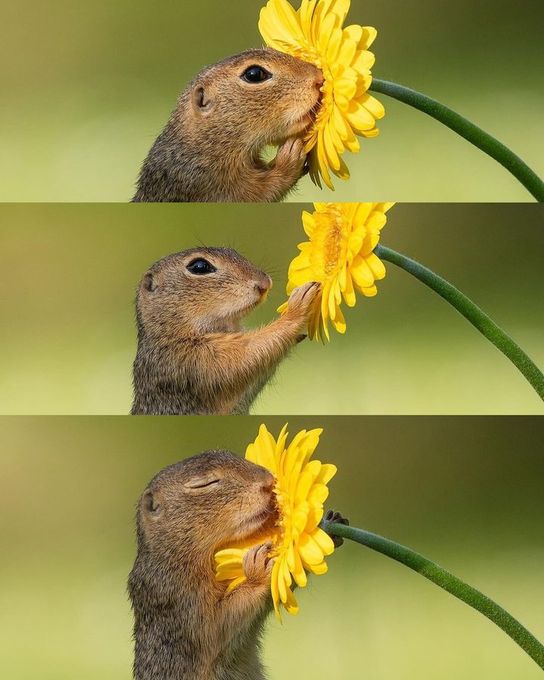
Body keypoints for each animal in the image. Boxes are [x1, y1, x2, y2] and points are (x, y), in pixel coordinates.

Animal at [128, 450, 349, 680]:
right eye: (204, 484)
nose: (268, 481)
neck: (176, 555)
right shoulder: (178, 599)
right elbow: (217, 625)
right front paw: (257, 572)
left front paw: (331, 524)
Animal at [131, 247, 320, 416]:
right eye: (199, 266)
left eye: (233, 250)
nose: (265, 283)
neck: (168, 331)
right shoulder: (190, 360)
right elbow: (246, 354)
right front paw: (296, 308)